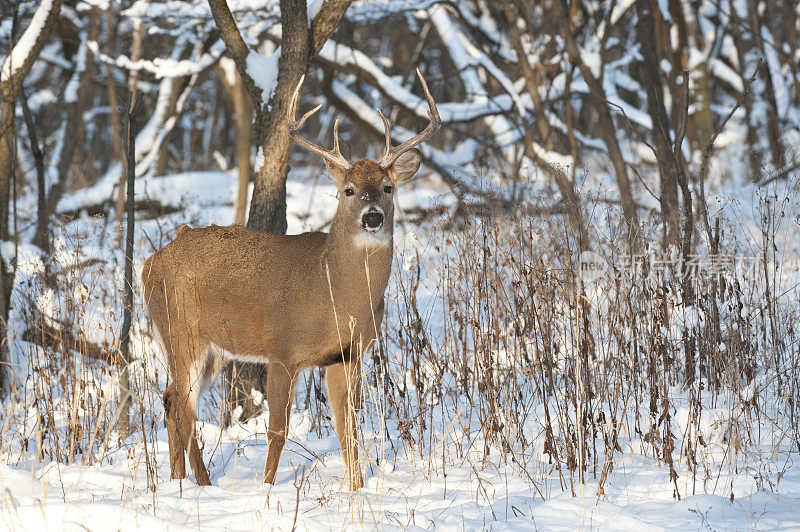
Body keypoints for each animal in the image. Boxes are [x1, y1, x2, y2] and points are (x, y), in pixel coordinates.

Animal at [142, 70, 444, 490]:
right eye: (348, 190)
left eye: (388, 188)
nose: (372, 217)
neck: (334, 292)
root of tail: (149, 263)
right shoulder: (282, 349)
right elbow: (278, 430)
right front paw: (268, 489)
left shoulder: (347, 355)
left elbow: (348, 427)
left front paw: (356, 489)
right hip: (181, 331)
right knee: (184, 410)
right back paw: (203, 484)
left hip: (210, 351)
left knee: (171, 399)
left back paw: (179, 481)